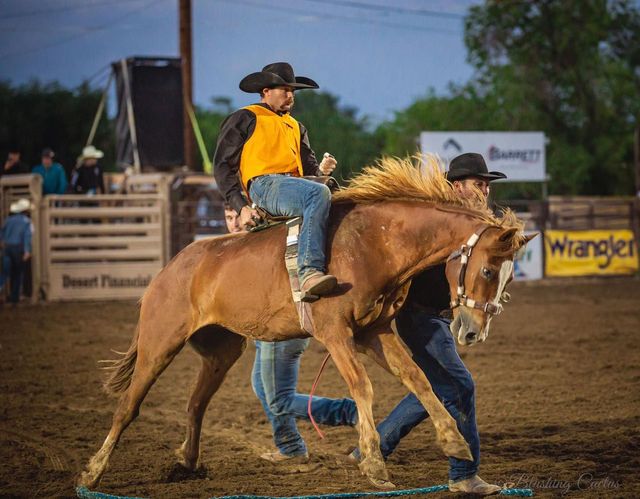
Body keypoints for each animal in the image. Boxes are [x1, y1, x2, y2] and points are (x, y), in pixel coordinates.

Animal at [79, 157, 528, 492]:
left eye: (508, 278)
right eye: (488, 270)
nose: (472, 331)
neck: (372, 242)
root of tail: (170, 268)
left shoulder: (374, 332)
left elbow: (418, 378)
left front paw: (455, 442)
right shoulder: (335, 334)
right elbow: (363, 387)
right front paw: (373, 464)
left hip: (220, 351)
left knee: (195, 403)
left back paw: (186, 462)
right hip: (159, 343)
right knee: (129, 406)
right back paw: (92, 471)